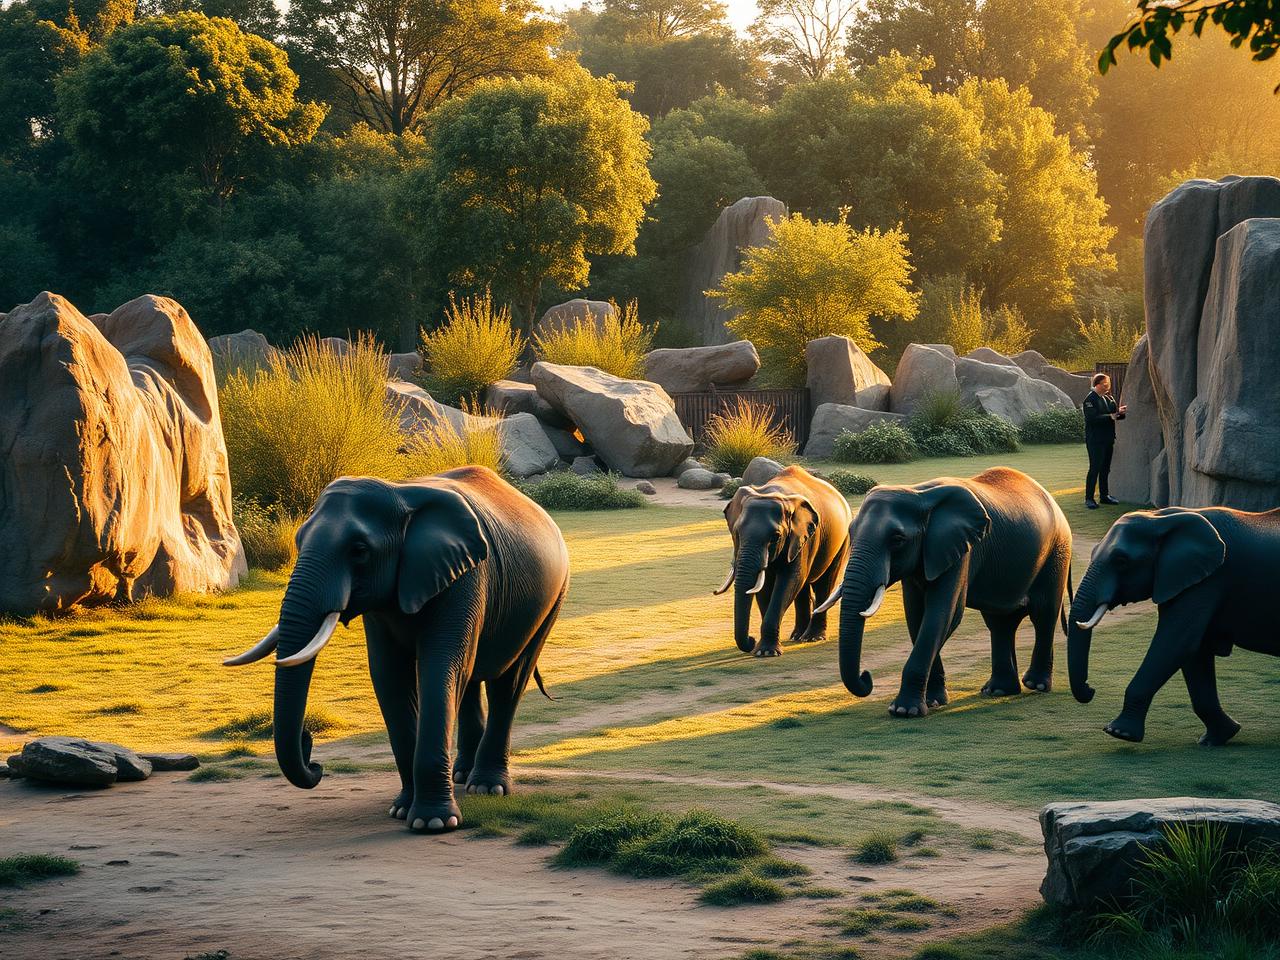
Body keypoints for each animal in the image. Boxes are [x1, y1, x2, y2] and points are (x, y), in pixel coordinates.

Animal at [222, 466, 570, 834]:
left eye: (359, 550)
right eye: (299, 540)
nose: (312, 753)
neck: (400, 494)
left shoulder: (466, 577)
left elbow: (440, 667)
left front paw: (433, 822)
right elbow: (389, 675)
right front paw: (402, 809)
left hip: (552, 598)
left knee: (509, 681)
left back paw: (487, 787)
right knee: (471, 678)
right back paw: (461, 775)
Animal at [716, 465, 851, 658]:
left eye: (775, 537)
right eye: (737, 533)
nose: (751, 640)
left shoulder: (804, 538)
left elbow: (788, 581)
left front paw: (766, 652)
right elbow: (765, 587)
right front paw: (762, 649)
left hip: (842, 541)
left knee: (823, 584)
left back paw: (812, 637)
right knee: (802, 588)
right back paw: (797, 636)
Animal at [817, 467, 1072, 716]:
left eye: (897, 539)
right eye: (851, 531)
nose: (866, 676)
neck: (919, 493)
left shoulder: (961, 552)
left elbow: (943, 615)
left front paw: (904, 710)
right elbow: (916, 616)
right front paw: (933, 701)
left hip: (1057, 553)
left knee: (1043, 614)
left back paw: (1035, 685)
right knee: (999, 623)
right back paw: (999, 690)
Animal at [1067, 506, 1280, 745]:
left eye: (1121, 561)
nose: (1090, 689)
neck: (1162, 518)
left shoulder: (1209, 581)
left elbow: (1175, 644)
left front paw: (1119, 732)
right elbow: (1195, 652)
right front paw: (1215, 738)